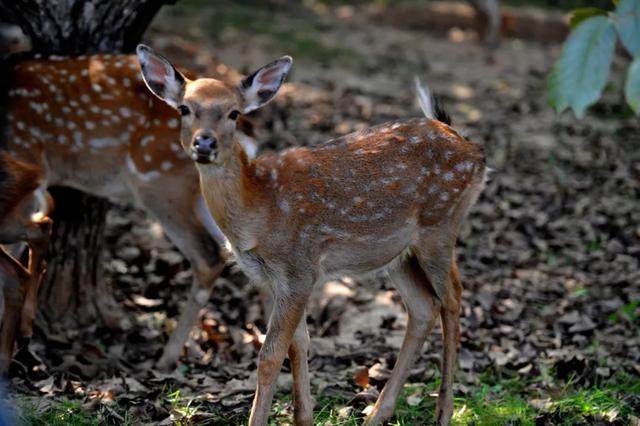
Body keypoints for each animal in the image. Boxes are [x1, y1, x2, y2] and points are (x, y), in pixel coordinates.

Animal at [136, 45, 484, 424]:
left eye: (233, 113)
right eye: (185, 108)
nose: (204, 143)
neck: (259, 209)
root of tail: (475, 152)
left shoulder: (300, 266)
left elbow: (270, 355)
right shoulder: (271, 277)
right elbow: (298, 343)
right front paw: (305, 416)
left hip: (440, 225)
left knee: (453, 299)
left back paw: (444, 411)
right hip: (398, 253)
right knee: (423, 307)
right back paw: (377, 414)